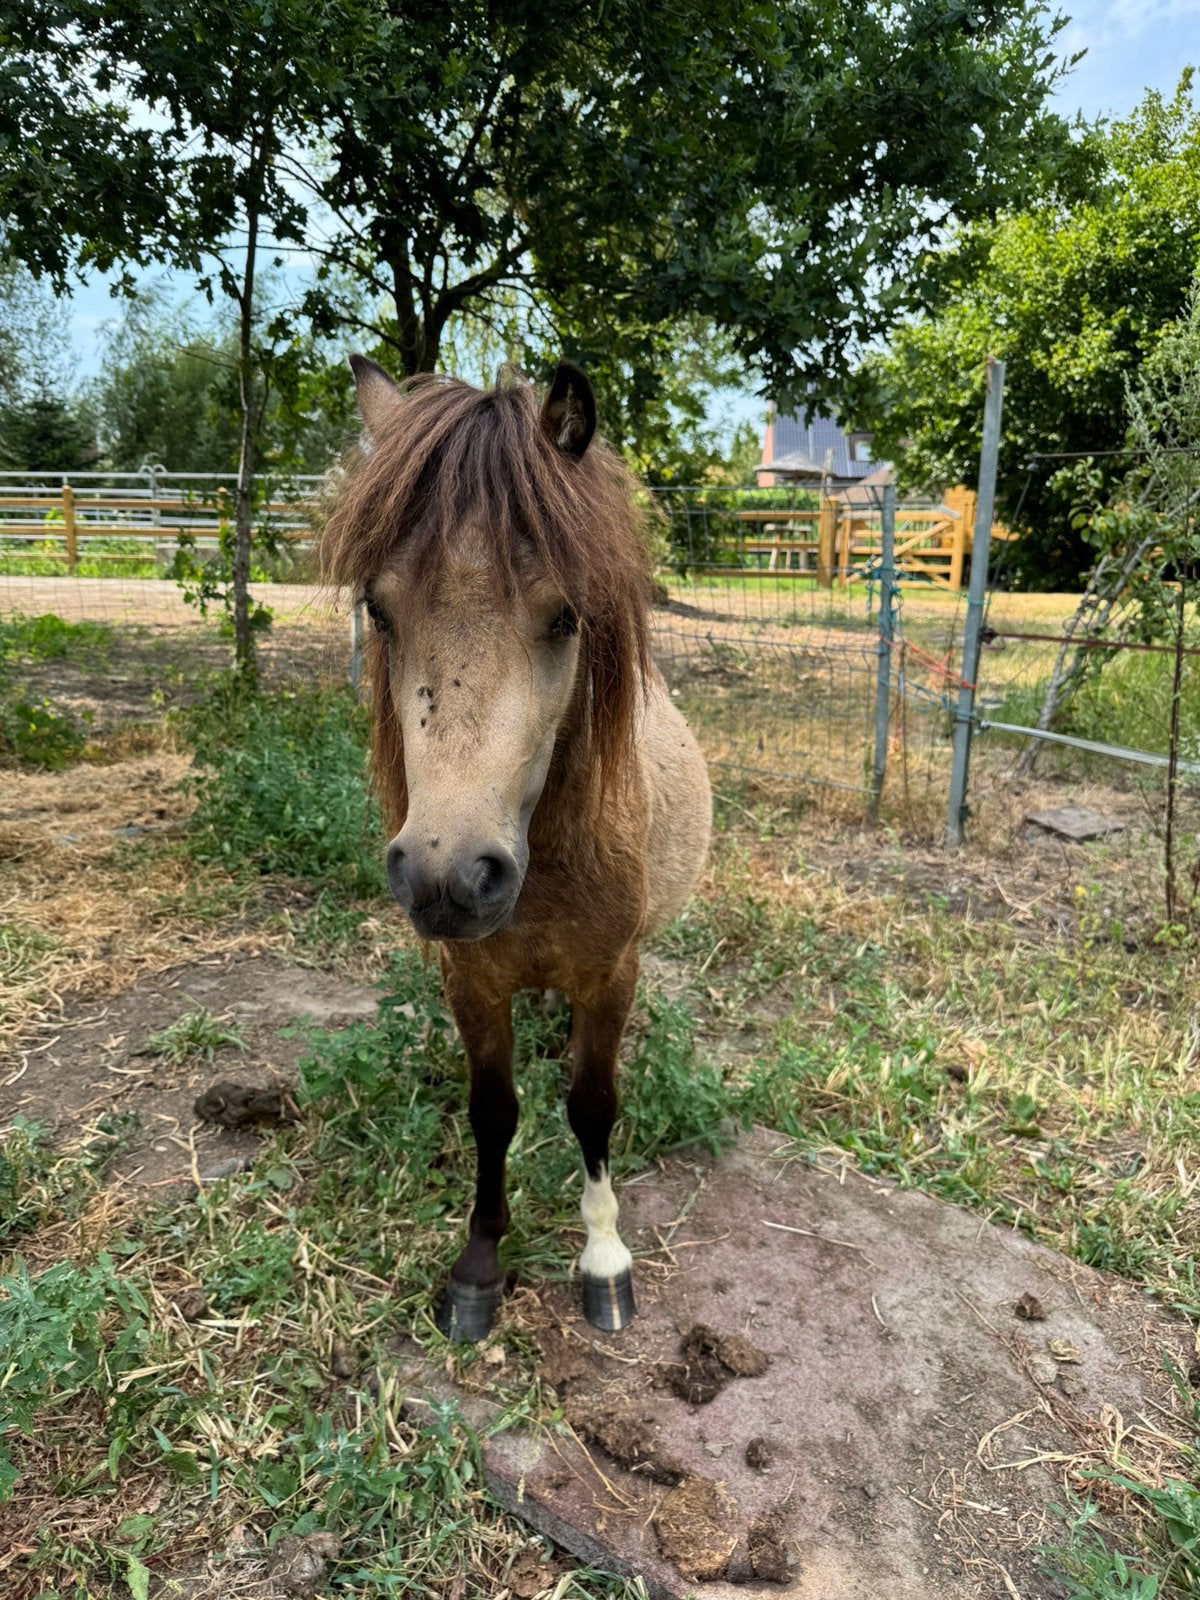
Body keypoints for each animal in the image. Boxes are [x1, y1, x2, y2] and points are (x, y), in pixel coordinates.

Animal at [321, 357, 711, 1340]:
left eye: (565, 616)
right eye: (380, 611)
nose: (448, 878)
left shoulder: (611, 975)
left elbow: (592, 1106)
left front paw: (604, 1257)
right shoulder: (471, 981)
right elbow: (492, 1111)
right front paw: (479, 1265)